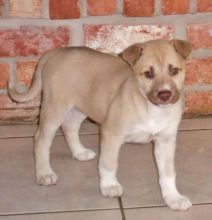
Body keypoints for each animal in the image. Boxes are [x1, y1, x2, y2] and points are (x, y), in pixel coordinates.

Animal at [8, 39, 192, 210]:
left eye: (174, 70)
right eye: (148, 73)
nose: (165, 95)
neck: (151, 108)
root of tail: (53, 53)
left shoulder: (166, 141)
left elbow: (168, 173)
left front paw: (173, 198)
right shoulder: (111, 133)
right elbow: (109, 163)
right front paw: (110, 186)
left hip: (82, 106)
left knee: (69, 127)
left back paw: (79, 152)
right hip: (54, 108)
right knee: (41, 139)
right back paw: (44, 173)